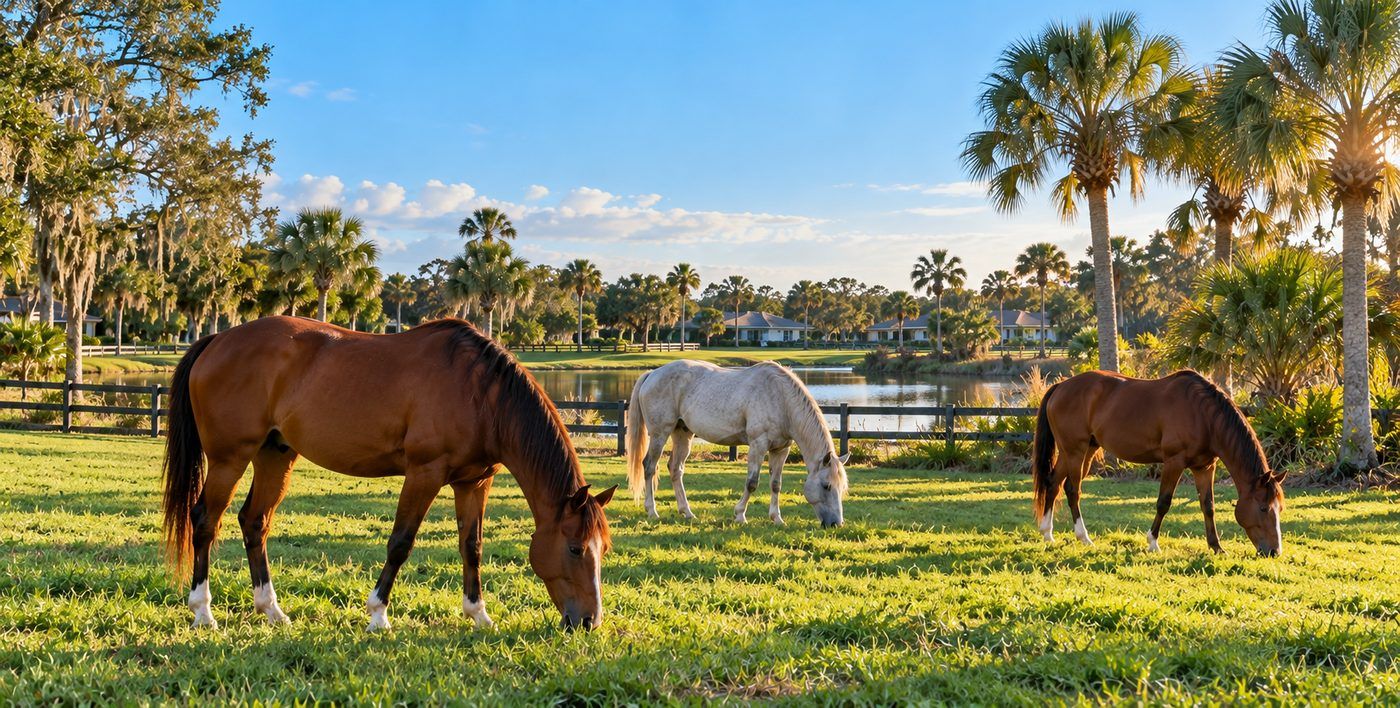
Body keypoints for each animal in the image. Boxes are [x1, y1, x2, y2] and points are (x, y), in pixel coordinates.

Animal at [161, 316, 616, 631]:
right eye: (575, 548)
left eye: (603, 549)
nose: (589, 622)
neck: (480, 394)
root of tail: (218, 340)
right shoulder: (424, 473)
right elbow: (401, 543)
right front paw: (378, 615)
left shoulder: (474, 481)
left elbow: (471, 547)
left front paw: (479, 615)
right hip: (229, 460)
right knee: (205, 521)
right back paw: (203, 612)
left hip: (274, 456)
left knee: (254, 522)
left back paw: (271, 610)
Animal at [625, 360, 848, 527]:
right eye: (827, 485)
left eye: (842, 487)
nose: (836, 524)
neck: (780, 398)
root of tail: (652, 374)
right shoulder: (758, 445)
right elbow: (752, 483)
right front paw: (740, 515)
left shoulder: (780, 449)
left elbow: (776, 484)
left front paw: (777, 518)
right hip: (659, 434)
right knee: (649, 467)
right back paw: (652, 511)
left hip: (682, 434)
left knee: (675, 469)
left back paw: (687, 512)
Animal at [1031, 369, 1284, 556]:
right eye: (1263, 507)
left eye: (1279, 508)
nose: (1274, 552)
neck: (1203, 415)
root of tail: (1060, 387)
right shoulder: (1174, 462)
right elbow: (1164, 502)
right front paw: (1153, 542)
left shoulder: (1204, 467)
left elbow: (1208, 506)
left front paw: (1216, 547)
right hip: (1076, 450)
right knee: (1072, 490)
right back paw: (1083, 537)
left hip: (1080, 451)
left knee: (1053, 483)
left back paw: (1047, 534)